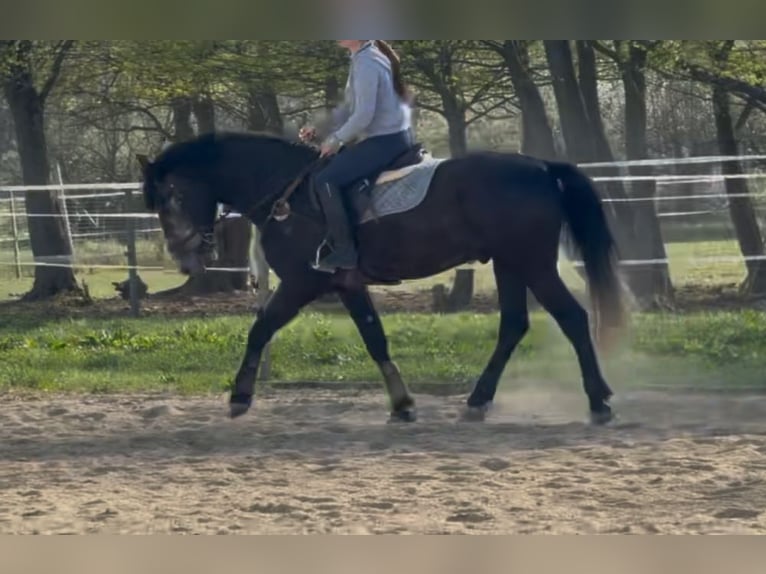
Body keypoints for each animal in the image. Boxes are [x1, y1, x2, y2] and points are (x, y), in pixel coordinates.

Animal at [137, 131, 626, 425]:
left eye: (170, 197)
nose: (184, 258)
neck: (286, 192)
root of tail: (542, 167)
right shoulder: (348, 285)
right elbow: (376, 341)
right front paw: (403, 404)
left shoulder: (302, 283)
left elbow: (260, 329)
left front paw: (240, 396)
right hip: (510, 265)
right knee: (513, 326)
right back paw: (478, 401)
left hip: (533, 264)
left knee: (572, 318)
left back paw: (598, 401)